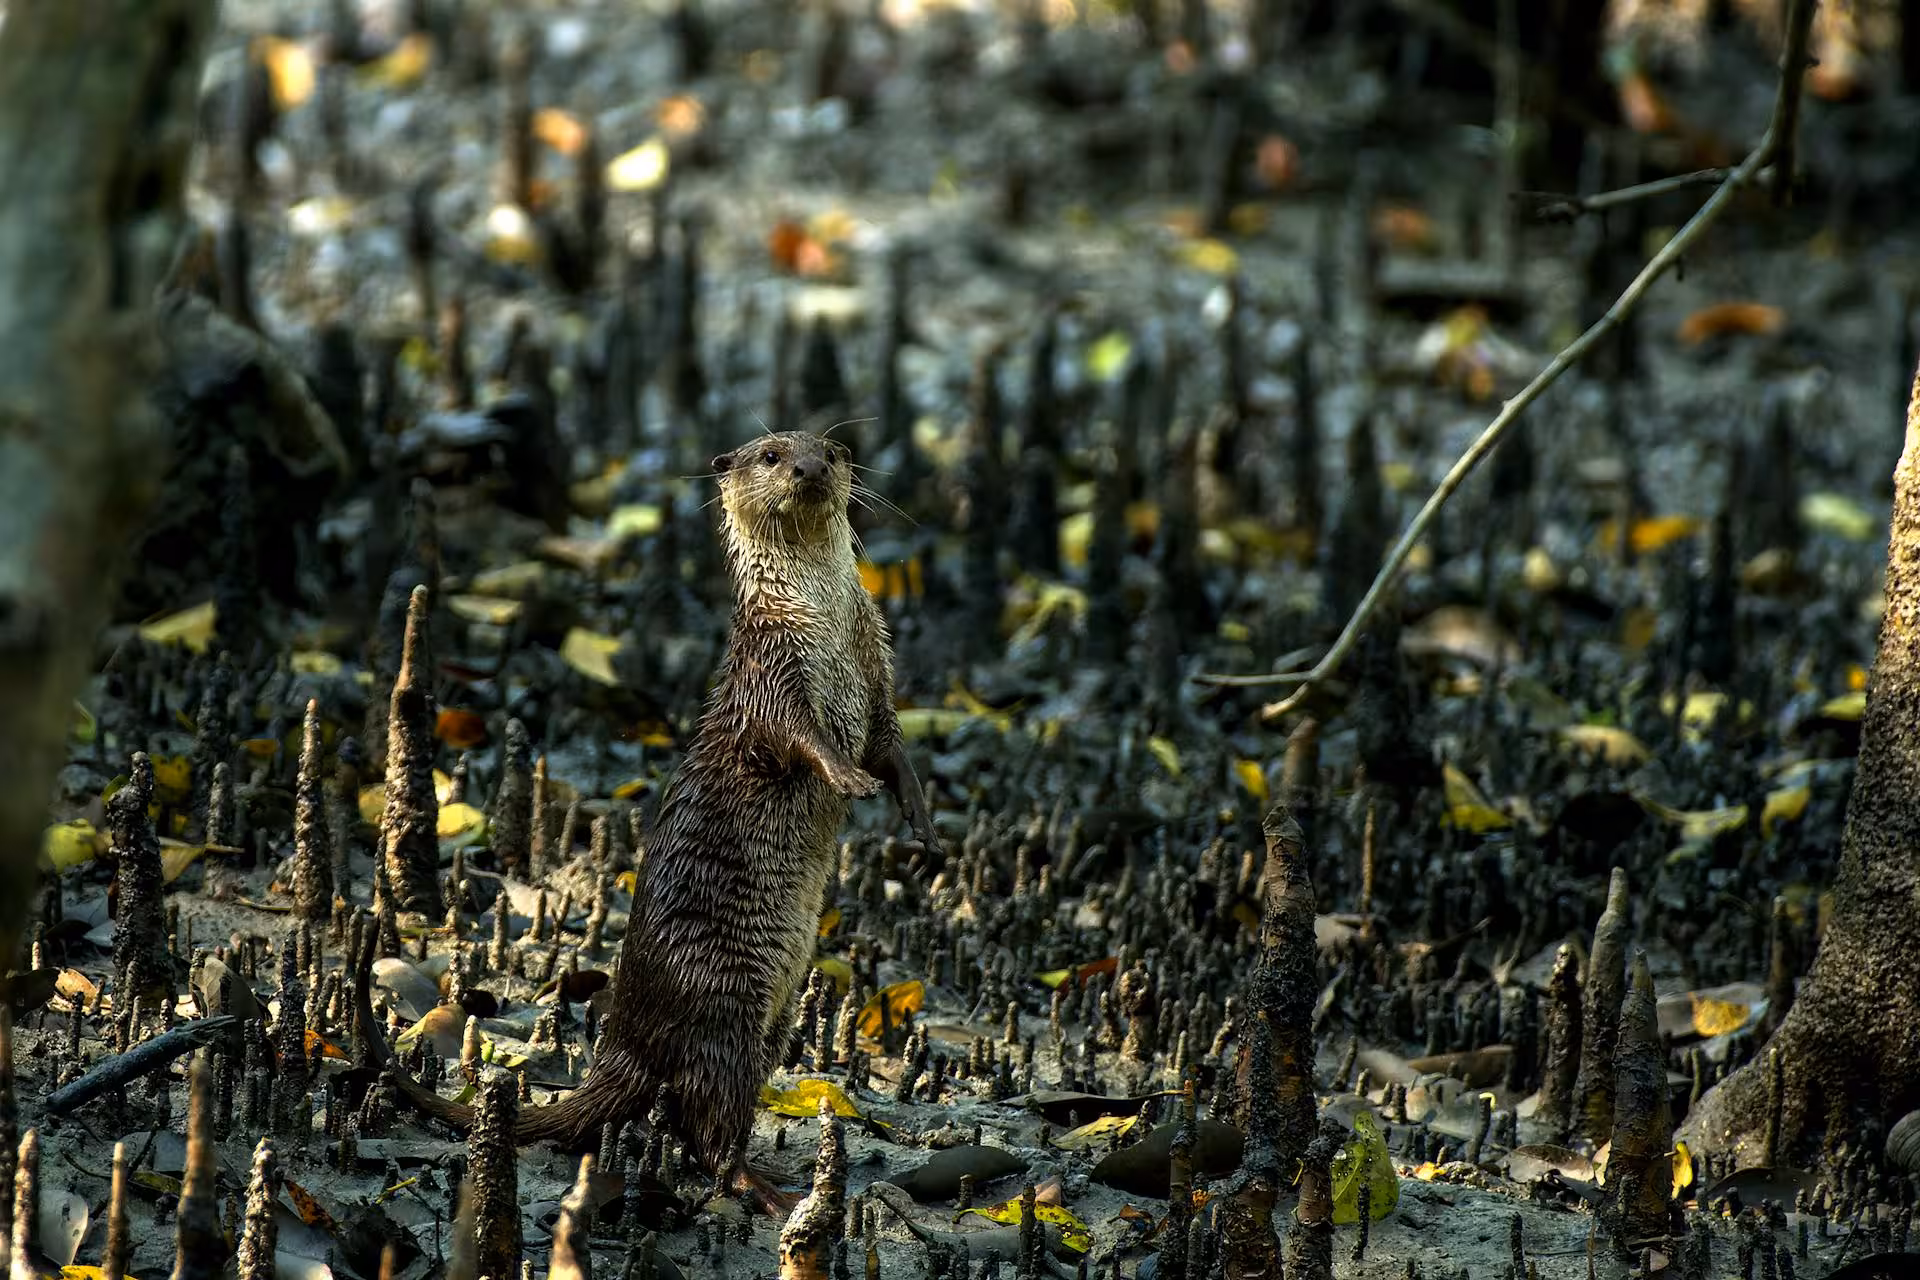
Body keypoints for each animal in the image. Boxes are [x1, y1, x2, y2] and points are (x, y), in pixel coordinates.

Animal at [356, 429, 940, 1207]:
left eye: (831, 450)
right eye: (771, 455)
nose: (810, 468)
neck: (822, 628)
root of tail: (627, 1041)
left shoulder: (876, 659)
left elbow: (893, 746)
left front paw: (921, 821)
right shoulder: (770, 667)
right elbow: (797, 736)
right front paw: (845, 775)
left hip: (777, 1016)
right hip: (723, 1005)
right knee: (710, 1125)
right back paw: (775, 1191)